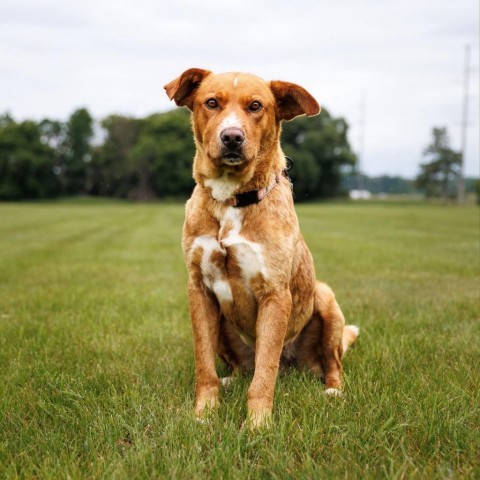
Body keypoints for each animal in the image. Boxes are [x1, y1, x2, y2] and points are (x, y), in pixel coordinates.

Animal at [163, 69, 358, 430]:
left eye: (256, 106)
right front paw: (203, 414)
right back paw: (230, 380)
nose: (232, 137)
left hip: (325, 299)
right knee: (243, 369)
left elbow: (265, 373)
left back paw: (333, 391)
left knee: (329, 363)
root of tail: (294, 366)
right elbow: (203, 364)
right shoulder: (199, 289)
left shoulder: (274, 294)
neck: (230, 199)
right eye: (211, 103)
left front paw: (258, 425)